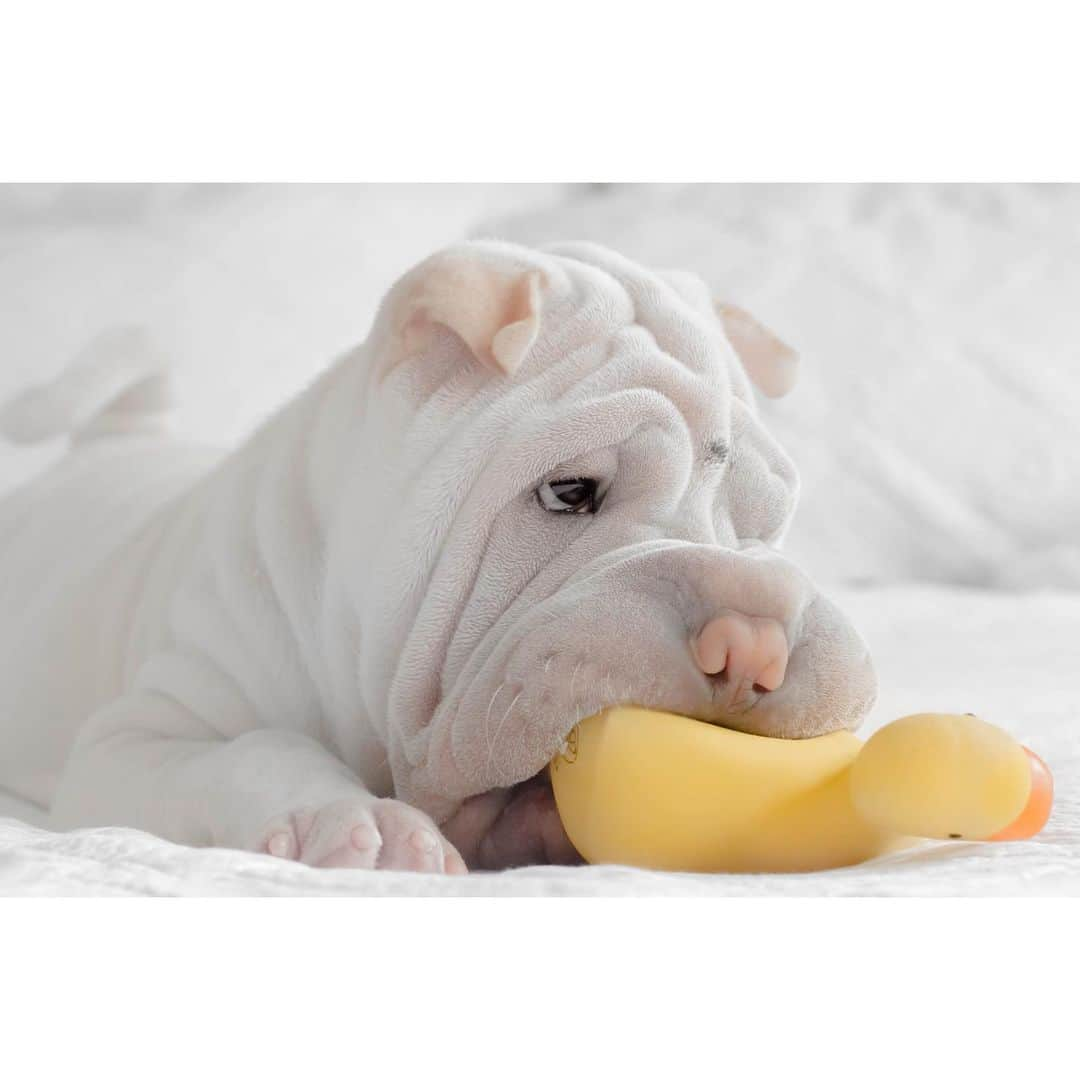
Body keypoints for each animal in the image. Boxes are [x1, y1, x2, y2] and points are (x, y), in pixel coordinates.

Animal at [0, 240, 876, 872]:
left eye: (764, 522)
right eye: (568, 492)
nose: (754, 639)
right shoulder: (135, 742)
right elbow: (255, 750)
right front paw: (349, 819)